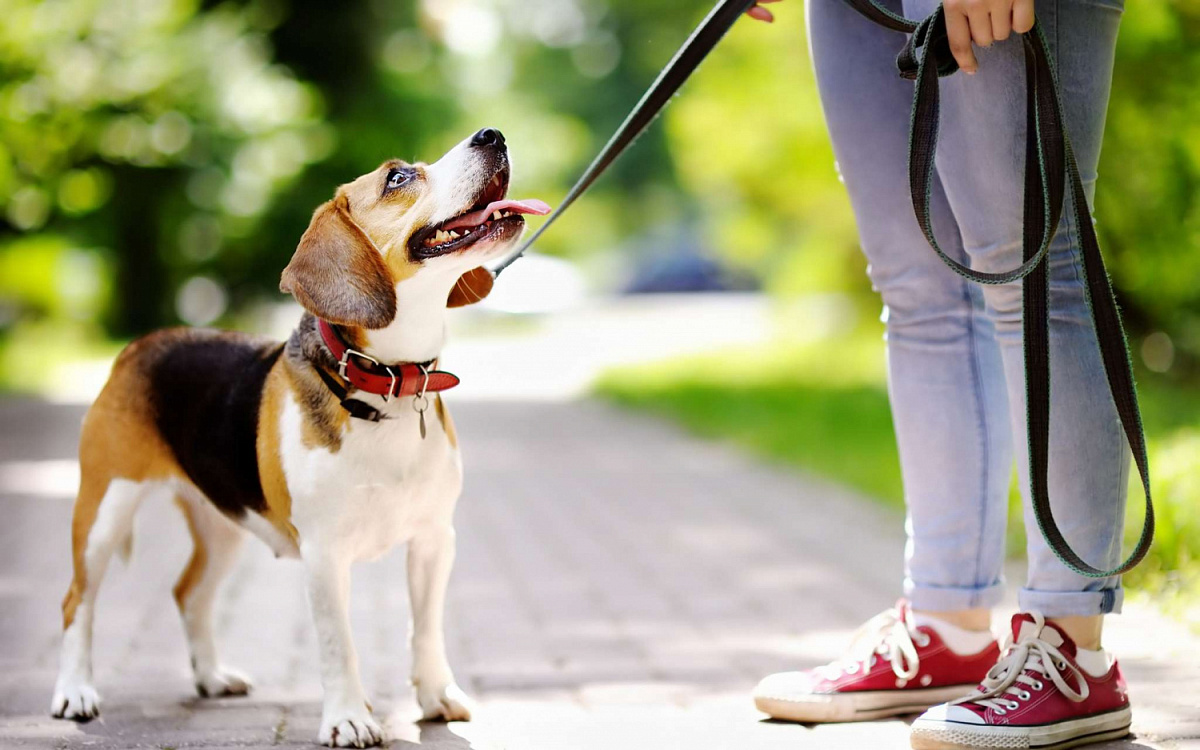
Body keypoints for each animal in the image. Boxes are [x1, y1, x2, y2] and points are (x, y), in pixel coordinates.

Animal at [49, 127, 549, 744]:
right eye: (398, 178)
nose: (492, 134)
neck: (385, 384)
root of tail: (141, 344)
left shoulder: (435, 539)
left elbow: (426, 629)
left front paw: (436, 696)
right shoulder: (324, 554)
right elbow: (339, 645)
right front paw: (350, 718)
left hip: (223, 524)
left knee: (188, 594)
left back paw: (211, 677)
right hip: (103, 510)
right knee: (77, 601)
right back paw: (74, 692)